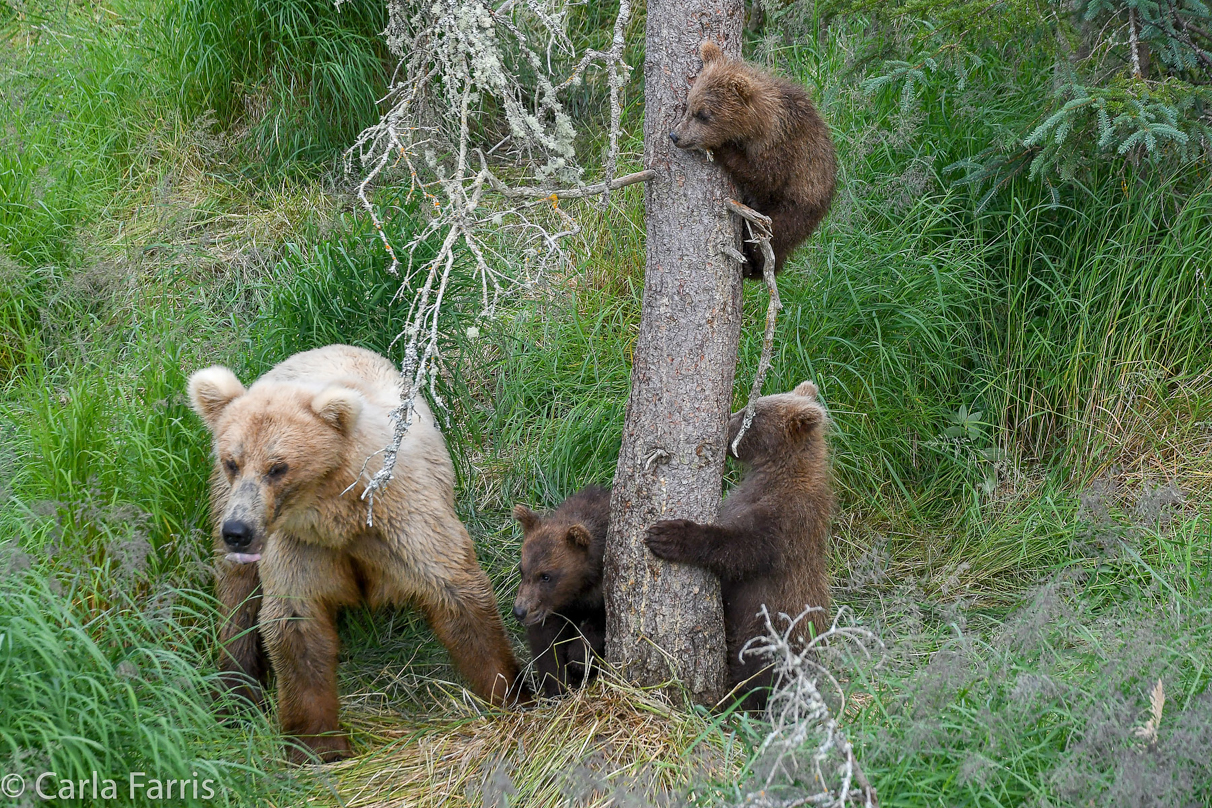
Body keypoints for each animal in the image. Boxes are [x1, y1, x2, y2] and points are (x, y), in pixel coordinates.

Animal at [190, 344, 526, 760]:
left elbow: (456, 591)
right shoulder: (300, 548)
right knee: (236, 598)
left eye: (278, 467)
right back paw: (235, 691)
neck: (339, 518)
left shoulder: (402, 523)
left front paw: (509, 688)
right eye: (232, 461)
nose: (238, 531)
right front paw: (319, 745)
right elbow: (295, 625)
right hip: (225, 511)